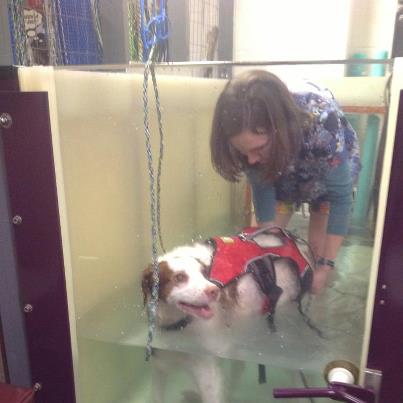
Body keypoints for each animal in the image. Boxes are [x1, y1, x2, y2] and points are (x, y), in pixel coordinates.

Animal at [142, 227, 316, 403]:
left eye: (204, 274)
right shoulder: (160, 367)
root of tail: (298, 241)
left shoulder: (207, 372)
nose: (214, 291)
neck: (176, 322)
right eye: (179, 277)